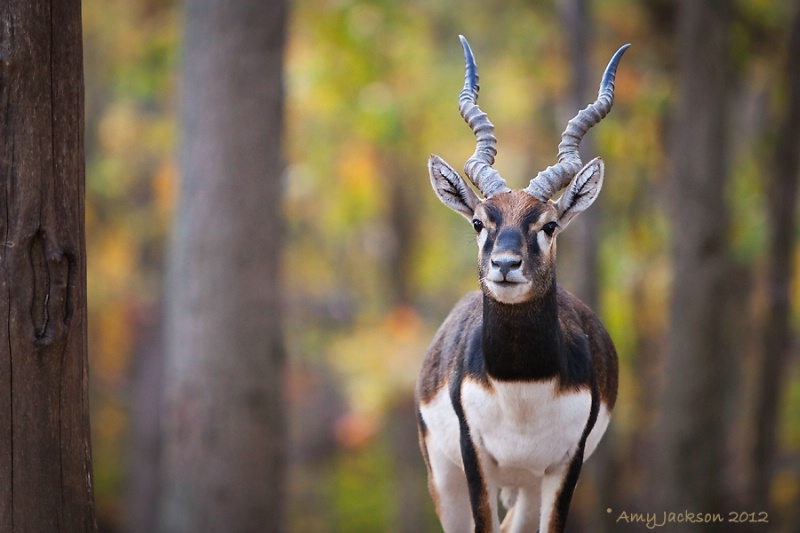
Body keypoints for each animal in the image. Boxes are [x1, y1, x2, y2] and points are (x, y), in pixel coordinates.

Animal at [416, 35, 628, 528]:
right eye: (479, 221)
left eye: (548, 225)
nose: (505, 265)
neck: (522, 382)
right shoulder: (473, 456)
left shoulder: (566, 464)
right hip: (444, 476)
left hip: (528, 485)